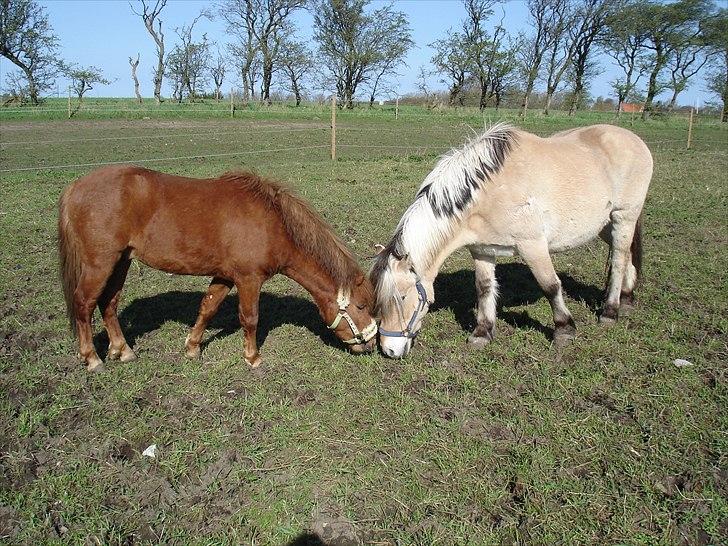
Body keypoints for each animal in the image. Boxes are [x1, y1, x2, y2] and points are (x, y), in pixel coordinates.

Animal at [59, 166, 378, 370]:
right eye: (361, 306)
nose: (371, 344)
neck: (273, 223)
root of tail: (76, 186)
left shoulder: (225, 276)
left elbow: (207, 308)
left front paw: (192, 347)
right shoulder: (249, 279)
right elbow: (250, 318)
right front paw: (253, 358)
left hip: (121, 262)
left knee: (109, 303)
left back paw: (122, 351)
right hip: (100, 263)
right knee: (84, 304)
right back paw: (92, 359)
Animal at [372, 123, 652, 356]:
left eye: (402, 297)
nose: (389, 350)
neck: (488, 192)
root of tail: (634, 139)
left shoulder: (533, 245)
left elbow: (550, 286)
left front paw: (564, 330)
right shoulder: (482, 249)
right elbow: (484, 288)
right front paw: (482, 333)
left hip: (624, 217)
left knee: (618, 260)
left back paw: (610, 312)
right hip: (605, 224)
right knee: (627, 255)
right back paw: (627, 299)